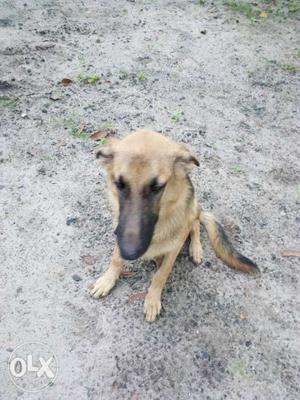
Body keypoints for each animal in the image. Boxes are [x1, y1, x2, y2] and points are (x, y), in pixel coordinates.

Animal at [89, 130, 258, 324]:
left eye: (157, 187)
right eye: (119, 184)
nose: (129, 253)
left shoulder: (174, 249)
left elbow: (161, 274)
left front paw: (152, 300)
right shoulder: (120, 228)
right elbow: (116, 259)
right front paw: (108, 279)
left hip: (193, 209)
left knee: (195, 226)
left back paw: (196, 249)